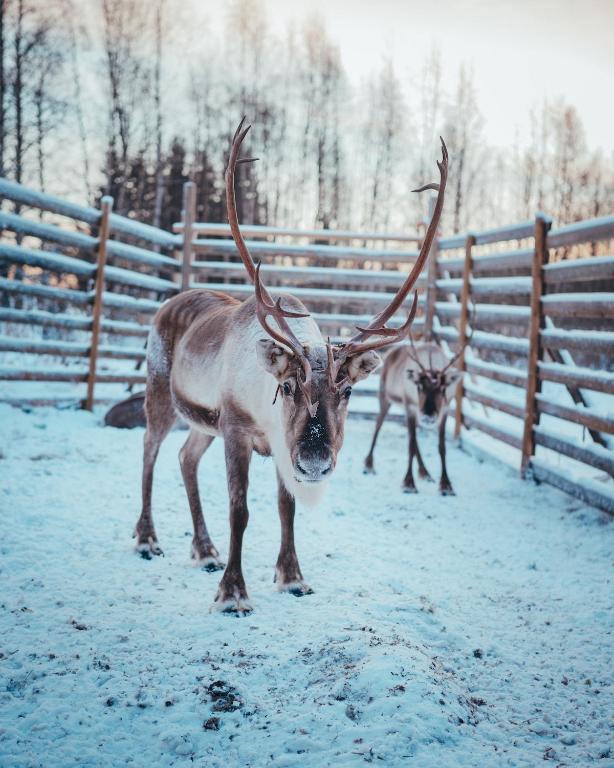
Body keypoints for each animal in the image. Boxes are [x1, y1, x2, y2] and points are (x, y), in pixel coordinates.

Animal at [133, 118, 448, 614]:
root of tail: (167, 303)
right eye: (287, 386)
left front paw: (292, 577)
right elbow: (240, 510)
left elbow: (287, 507)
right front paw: (232, 593)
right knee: (149, 450)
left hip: (203, 422)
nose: (316, 459)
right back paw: (148, 539)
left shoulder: (279, 444)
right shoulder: (237, 429)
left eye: (348, 391)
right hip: (159, 392)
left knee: (185, 458)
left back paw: (204, 550)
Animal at [364, 332, 471, 496]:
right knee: (378, 424)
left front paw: (446, 484)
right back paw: (369, 464)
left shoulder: (444, 410)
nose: (428, 417)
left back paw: (424, 472)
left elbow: (441, 447)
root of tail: (390, 353)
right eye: (419, 386)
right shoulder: (410, 406)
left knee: (412, 438)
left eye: (443, 388)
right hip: (385, 397)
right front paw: (409, 483)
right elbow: (410, 444)